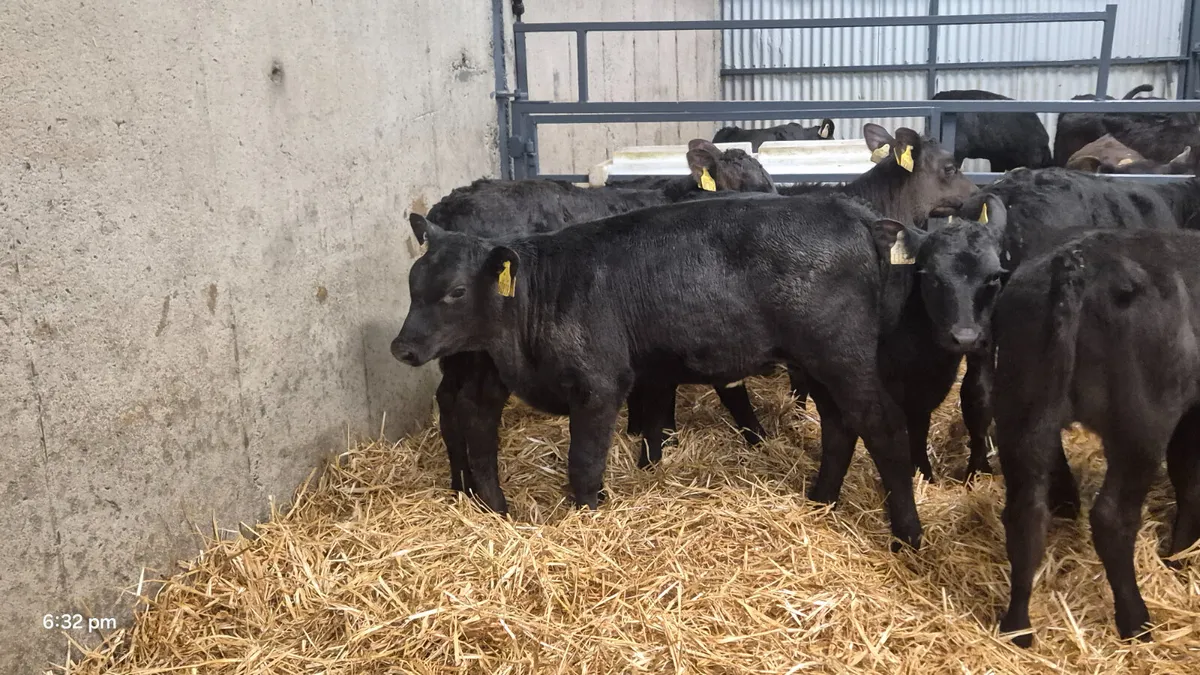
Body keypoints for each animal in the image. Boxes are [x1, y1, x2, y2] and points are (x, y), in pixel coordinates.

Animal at [393, 192, 930, 552]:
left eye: (457, 291)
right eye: (413, 282)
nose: (402, 347)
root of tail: (850, 211)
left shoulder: (600, 384)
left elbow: (583, 463)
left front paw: (586, 520)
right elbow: (482, 433)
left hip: (841, 352)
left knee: (883, 424)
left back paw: (906, 536)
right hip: (815, 362)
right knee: (840, 424)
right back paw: (820, 500)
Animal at [991, 228, 1200, 645]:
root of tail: (1079, 261)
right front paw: (1181, 557)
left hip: (1020, 415)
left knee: (1026, 514)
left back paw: (1018, 626)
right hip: (1141, 426)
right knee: (1112, 518)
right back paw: (1137, 621)